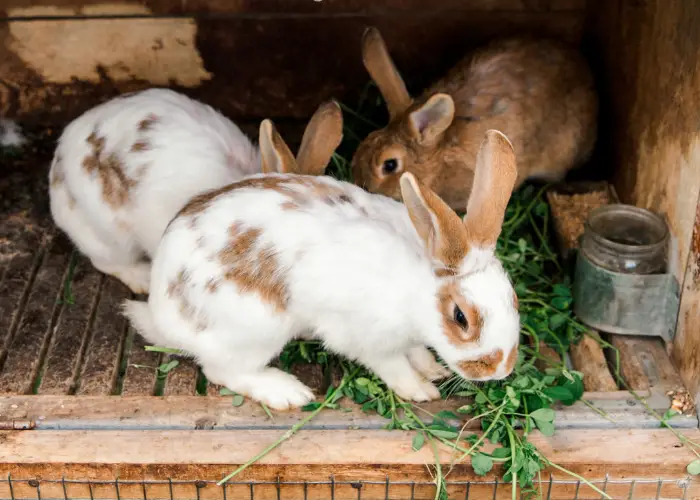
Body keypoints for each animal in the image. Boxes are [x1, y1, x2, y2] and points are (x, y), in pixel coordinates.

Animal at [123, 119, 524, 408]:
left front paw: (432, 368)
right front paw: (421, 390)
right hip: (254, 331)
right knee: (222, 370)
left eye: (513, 298)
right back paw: (287, 392)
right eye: (460, 318)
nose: (500, 369)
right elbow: (393, 367)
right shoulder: (368, 339)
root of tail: (161, 312)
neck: (417, 287)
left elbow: (415, 352)